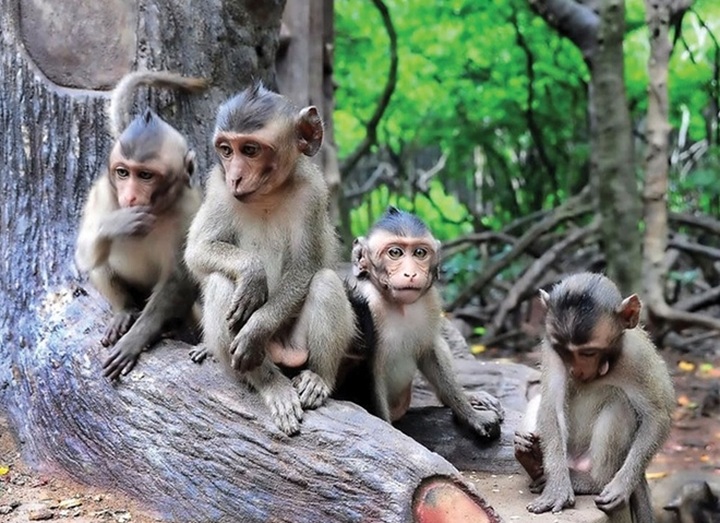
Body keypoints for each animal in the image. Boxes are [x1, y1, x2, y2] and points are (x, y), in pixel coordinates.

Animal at [75, 70, 207, 380]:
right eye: (123, 173)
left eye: (145, 175)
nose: (131, 197)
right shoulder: (102, 193)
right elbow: (84, 255)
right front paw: (119, 223)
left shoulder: (190, 211)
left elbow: (180, 278)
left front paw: (138, 338)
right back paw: (124, 311)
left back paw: (169, 329)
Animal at [183, 83, 356, 436]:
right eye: (226, 150)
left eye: (250, 150)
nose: (235, 177)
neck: (266, 194)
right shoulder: (217, 187)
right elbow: (197, 249)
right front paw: (251, 273)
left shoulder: (312, 192)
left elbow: (306, 267)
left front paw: (256, 328)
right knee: (221, 283)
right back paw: (269, 383)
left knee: (325, 282)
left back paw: (318, 378)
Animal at [336, 207, 504, 440]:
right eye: (395, 253)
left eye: (420, 253)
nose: (411, 273)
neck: (397, 305)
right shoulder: (367, 302)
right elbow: (371, 374)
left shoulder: (430, 301)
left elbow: (430, 351)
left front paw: (471, 415)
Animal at [514, 272, 676, 523]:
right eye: (564, 351)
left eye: (588, 352)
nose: (576, 370)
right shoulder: (550, 346)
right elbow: (551, 403)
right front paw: (557, 486)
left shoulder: (636, 356)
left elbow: (657, 415)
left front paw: (621, 486)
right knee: (538, 402)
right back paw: (532, 459)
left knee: (621, 405)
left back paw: (592, 482)